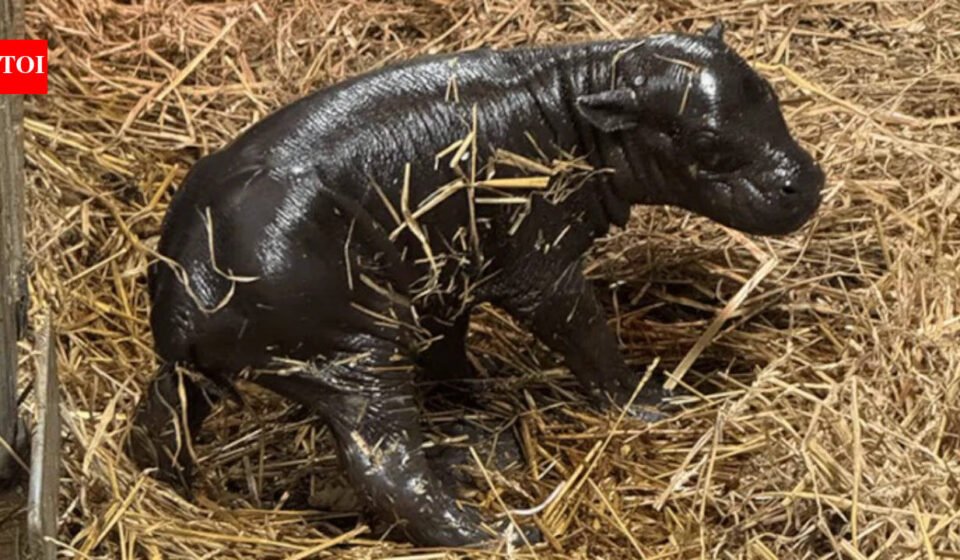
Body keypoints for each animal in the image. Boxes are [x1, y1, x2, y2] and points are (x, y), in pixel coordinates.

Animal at [127, 23, 823, 546]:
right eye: (703, 137)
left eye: (768, 91)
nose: (806, 182)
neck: (577, 99)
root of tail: (188, 293)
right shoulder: (539, 268)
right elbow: (587, 337)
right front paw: (652, 403)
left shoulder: (447, 274)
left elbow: (449, 349)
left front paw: (484, 400)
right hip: (354, 359)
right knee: (388, 472)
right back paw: (502, 533)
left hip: (215, 369)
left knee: (160, 419)